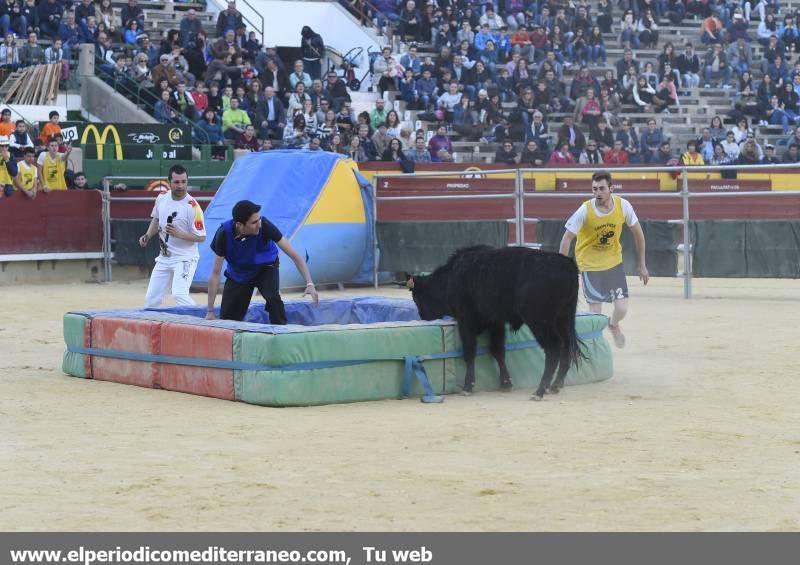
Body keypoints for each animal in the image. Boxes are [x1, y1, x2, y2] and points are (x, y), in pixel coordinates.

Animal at [410, 245, 584, 398]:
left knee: (553, 347)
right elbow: (498, 350)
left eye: (417, 299)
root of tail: (566, 264)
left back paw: (540, 391)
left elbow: (470, 352)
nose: (424, 318)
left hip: (540, 321)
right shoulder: (496, 322)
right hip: (563, 320)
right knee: (565, 346)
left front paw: (467, 387)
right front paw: (506, 383)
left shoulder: (466, 321)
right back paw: (555, 385)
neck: (450, 279)